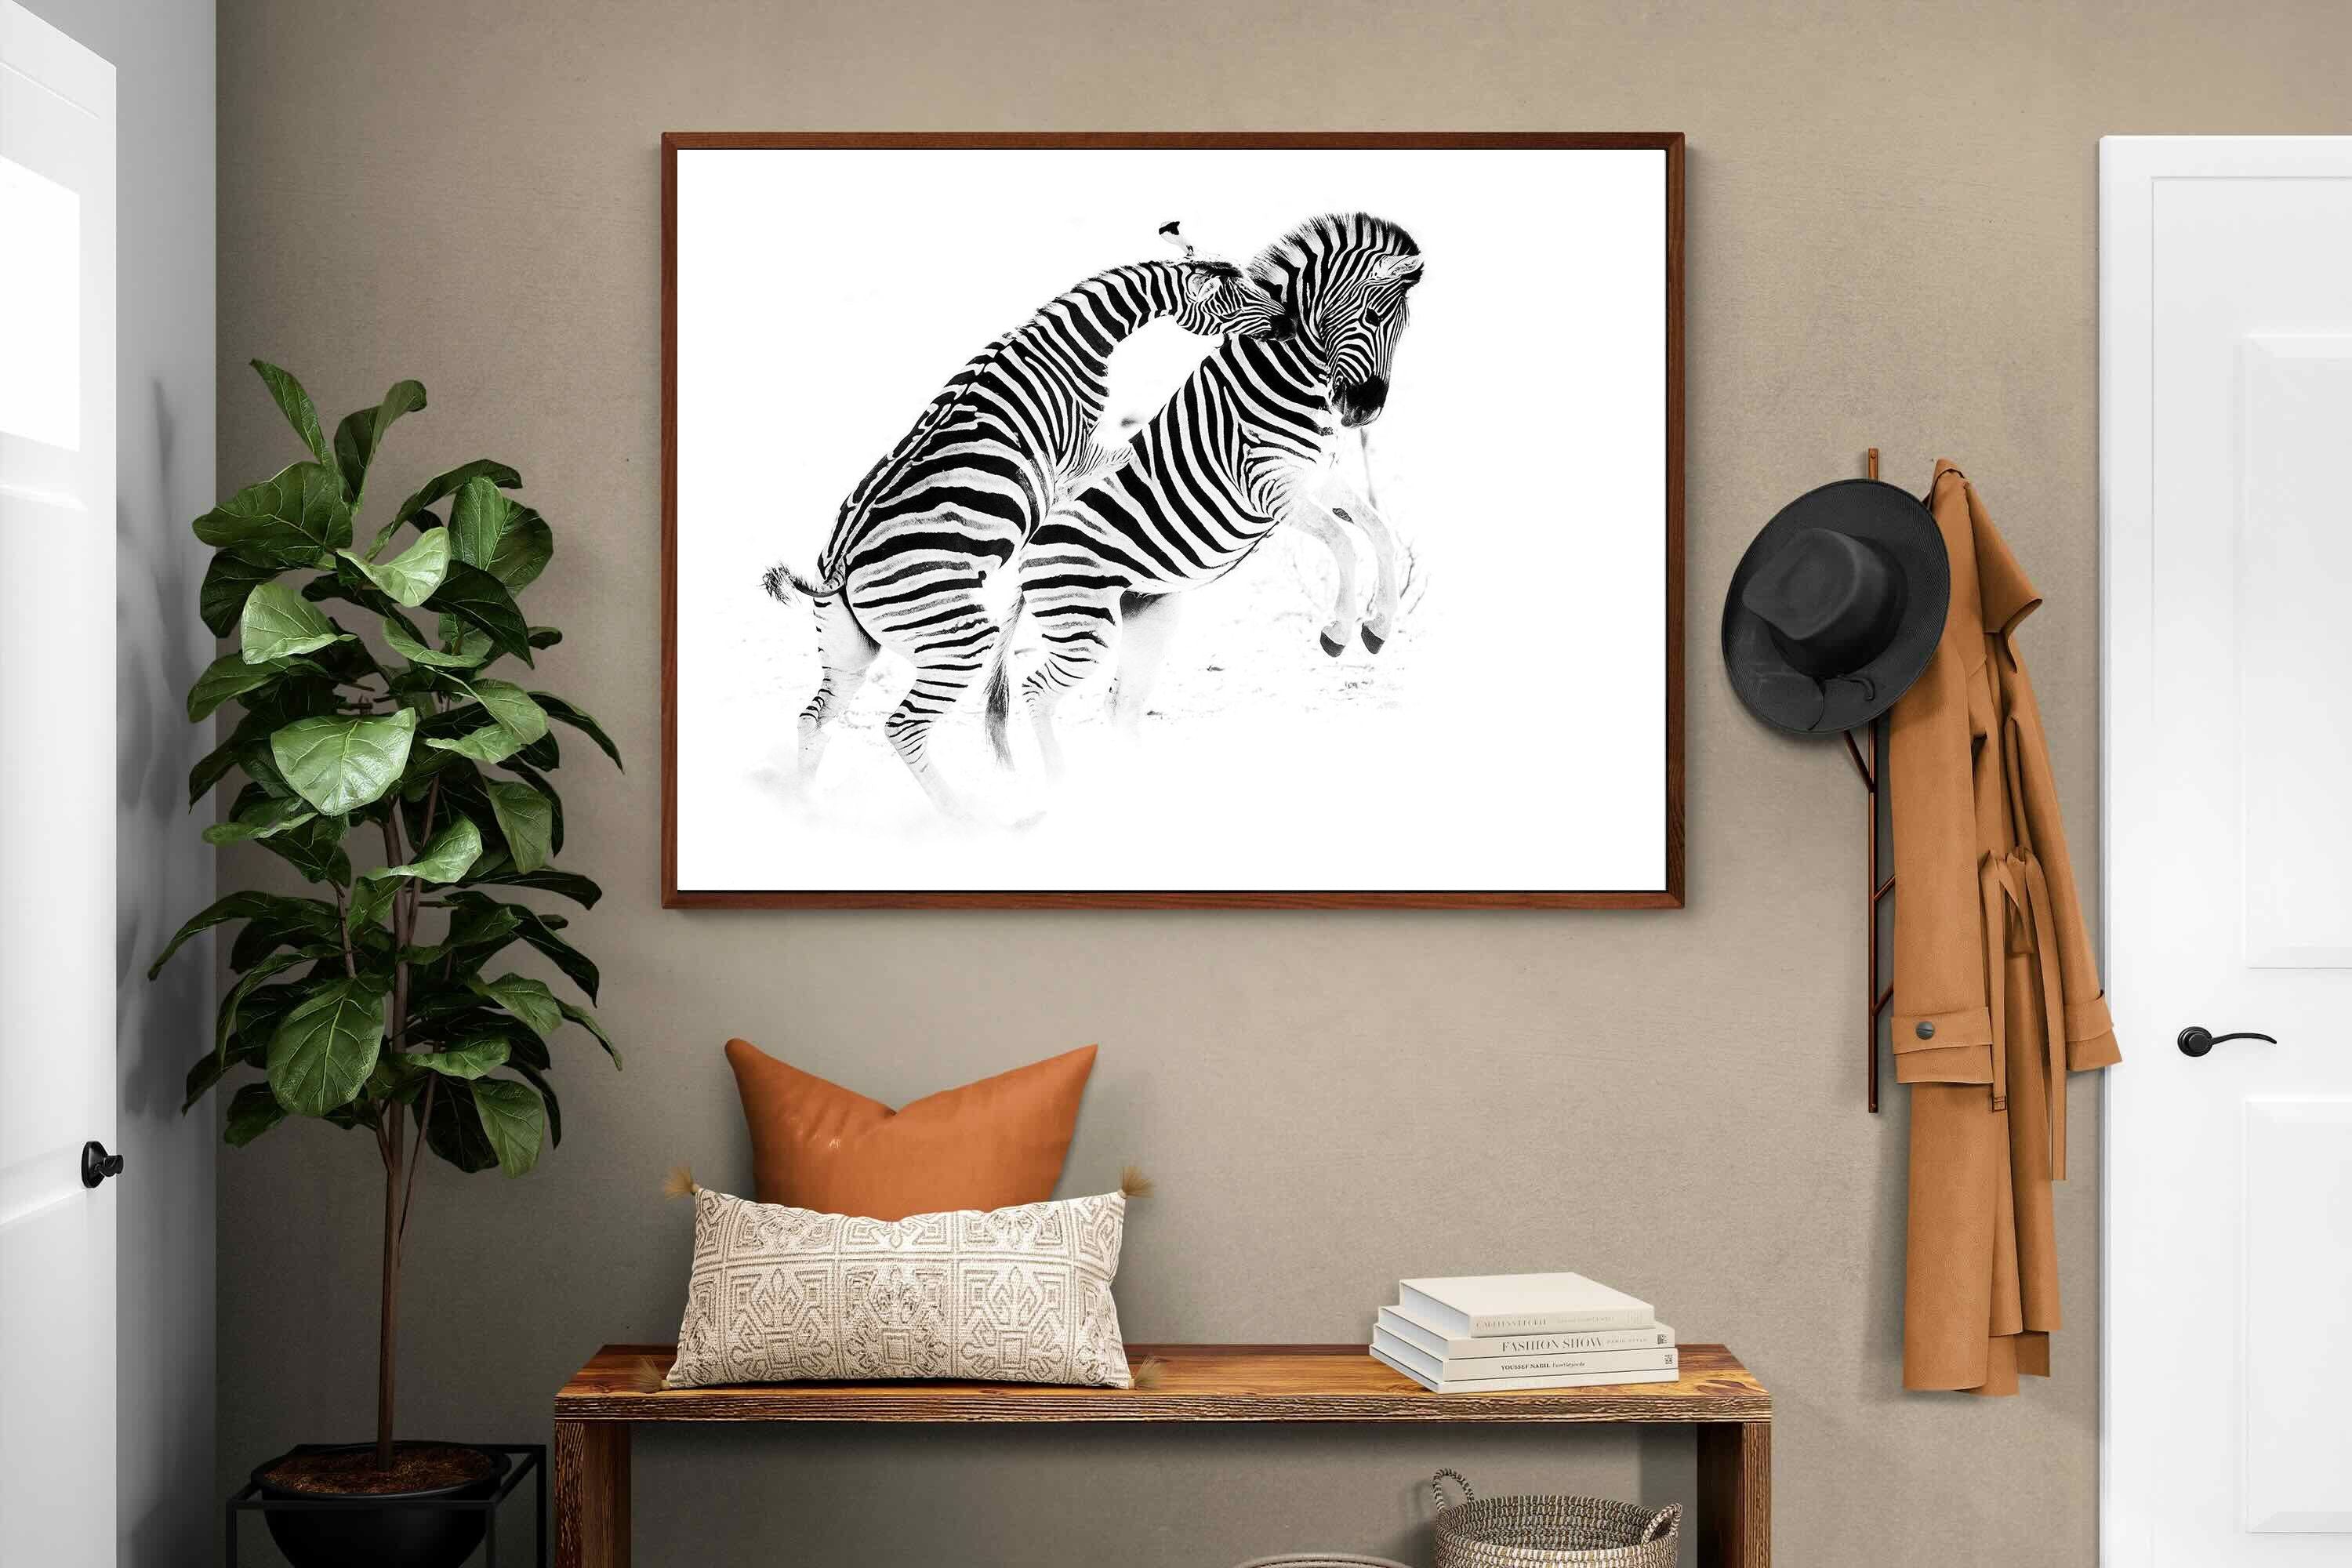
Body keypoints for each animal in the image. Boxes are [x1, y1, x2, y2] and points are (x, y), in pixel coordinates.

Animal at [761, 227, 1289, 814]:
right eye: (1246, 300)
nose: (1289, 322)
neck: (1071, 345)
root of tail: (841, 566)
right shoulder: (1075, 458)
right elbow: (1127, 456)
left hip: (848, 652)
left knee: (815, 718)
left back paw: (807, 807)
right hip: (959, 639)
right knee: (903, 726)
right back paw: (965, 816)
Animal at [984, 213, 1423, 775]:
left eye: (1403, 328)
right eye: (1371, 315)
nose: (1365, 411)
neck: (1284, 375)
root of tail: (1025, 558)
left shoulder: (1319, 478)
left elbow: (1379, 533)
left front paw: (1378, 626)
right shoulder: (1268, 486)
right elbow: (1345, 543)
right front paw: (1338, 632)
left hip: (1149, 615)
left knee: (1121, 706)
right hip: (1084, 620)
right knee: (1038, 692)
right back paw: (1062, 782)